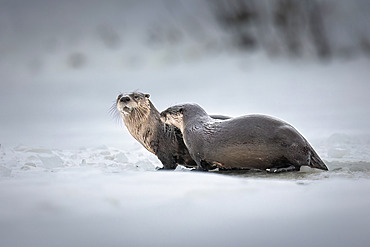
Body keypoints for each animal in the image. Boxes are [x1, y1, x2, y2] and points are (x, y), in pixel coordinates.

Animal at [160, 103, 328, 172]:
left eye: (168, 111)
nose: (160, 114)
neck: (193, 127)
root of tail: (305, 143)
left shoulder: (197, 152)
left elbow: (201, 165)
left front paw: (194, 169)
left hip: (291, 146)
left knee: (298, 165)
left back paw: (276, 169)